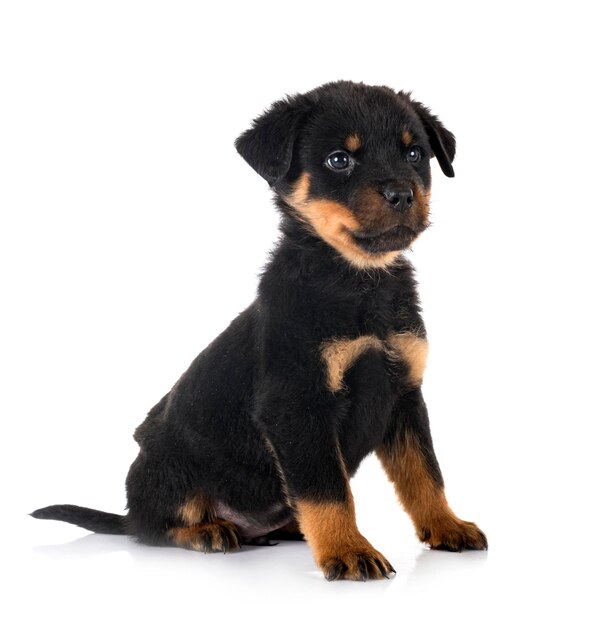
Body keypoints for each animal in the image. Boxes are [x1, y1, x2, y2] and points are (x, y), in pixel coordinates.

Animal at [31, 79, 486, 580]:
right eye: (339, 160)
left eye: (414, 154)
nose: (403, 194)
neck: (361, 284)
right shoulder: (297, 404)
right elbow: (328, 491)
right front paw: (348, 549)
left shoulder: (403, 394)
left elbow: (425, 474)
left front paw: (447, 525)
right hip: (167, 464)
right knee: (152, 526)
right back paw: (208, 531)